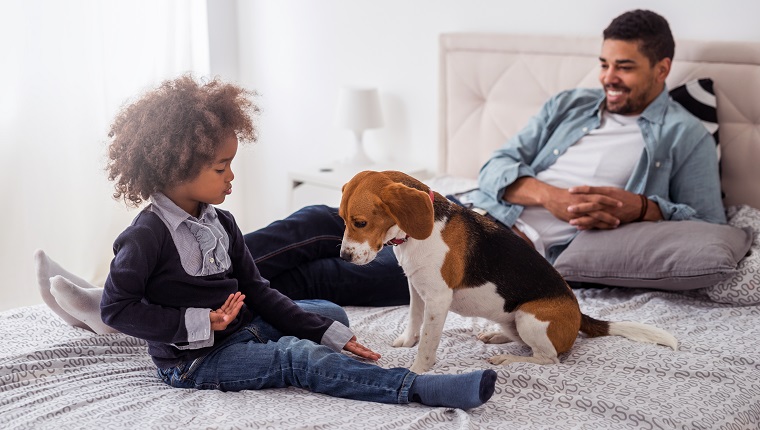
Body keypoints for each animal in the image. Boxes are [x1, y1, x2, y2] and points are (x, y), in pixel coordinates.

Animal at [338, 170, 676, 372]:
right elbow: (413, 320)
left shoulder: (437, 299)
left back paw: (507, 358)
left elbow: (428, 340)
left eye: (360, 222)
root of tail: (580, 316)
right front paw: (406, 342)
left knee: (548, 358)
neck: (413, 234)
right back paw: (496, 336)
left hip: (531, 317)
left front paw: (418, 370)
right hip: (513, 319)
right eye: (341, 218)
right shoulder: (416, 287)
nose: (343, 256)